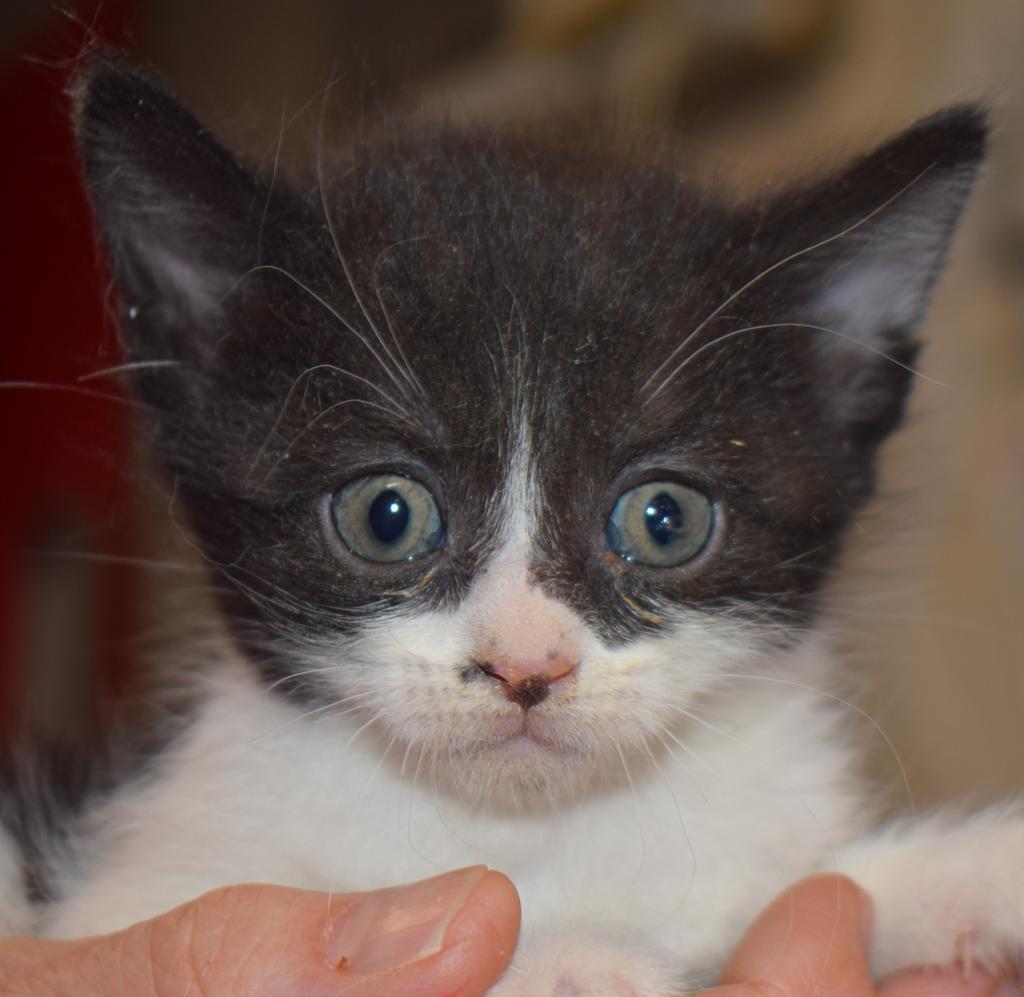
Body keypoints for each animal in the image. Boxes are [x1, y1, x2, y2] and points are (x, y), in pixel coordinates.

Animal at [0, 54, 1019, 997]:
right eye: (386, 515)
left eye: (664, 519)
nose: (527, 666)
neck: (529, 830)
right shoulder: (131, 880)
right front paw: (572, 961)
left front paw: (969, 876)